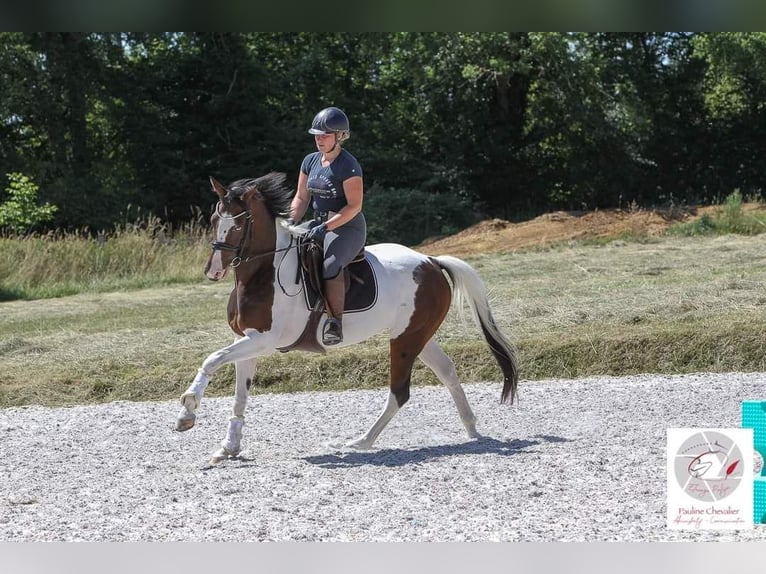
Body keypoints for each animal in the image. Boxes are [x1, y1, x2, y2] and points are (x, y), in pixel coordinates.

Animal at [177, 171, 520, 464]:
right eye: (213, 220)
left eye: (237, 225)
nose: (213, 271)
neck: (263, 273)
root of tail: (431, 261)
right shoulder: (246, 339)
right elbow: (239, 395)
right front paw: (229, 447)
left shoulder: (263, 340)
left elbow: (211, 360)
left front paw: (188, 411)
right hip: (418, 334)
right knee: (447, 371)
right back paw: (472, 430)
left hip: (405, 339)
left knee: (400, 391)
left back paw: (362, 442)